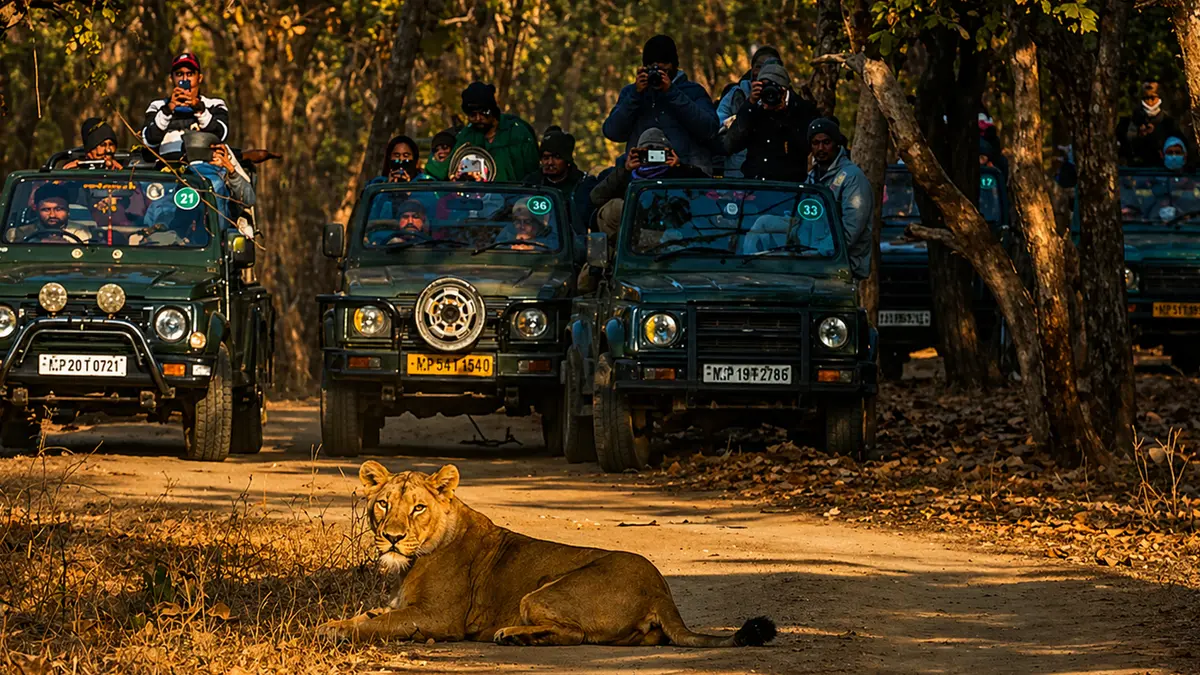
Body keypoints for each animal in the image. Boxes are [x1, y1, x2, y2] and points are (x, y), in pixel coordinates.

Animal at [317, 461, 777, 647]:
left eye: (417, 508)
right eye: (382, 504)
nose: (392, 538)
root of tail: (661, 590)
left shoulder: (438, 618)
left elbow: (378, 624)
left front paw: (330, 630)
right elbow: (369, 616)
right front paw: (335, 624)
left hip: (540, 593)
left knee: (575, 634)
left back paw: (512, 635)